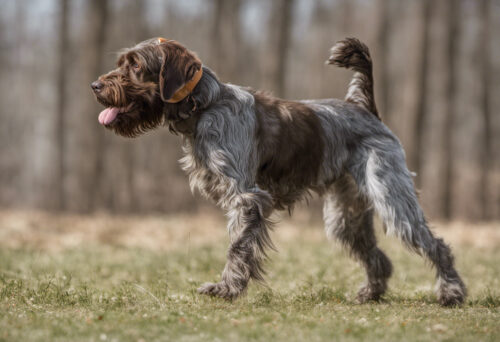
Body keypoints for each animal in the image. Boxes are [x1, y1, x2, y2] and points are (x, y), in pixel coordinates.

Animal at [92, 37, 466, 308]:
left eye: (136, 65)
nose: (95, 85)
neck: (206, 105)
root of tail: (364, 107)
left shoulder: (247, 198)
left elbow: (237, 249)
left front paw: (227, 289)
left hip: (393, 201)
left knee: (437, 245)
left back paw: (451, 292)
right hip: (345, 217)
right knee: (378, 258)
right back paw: (371, 293)